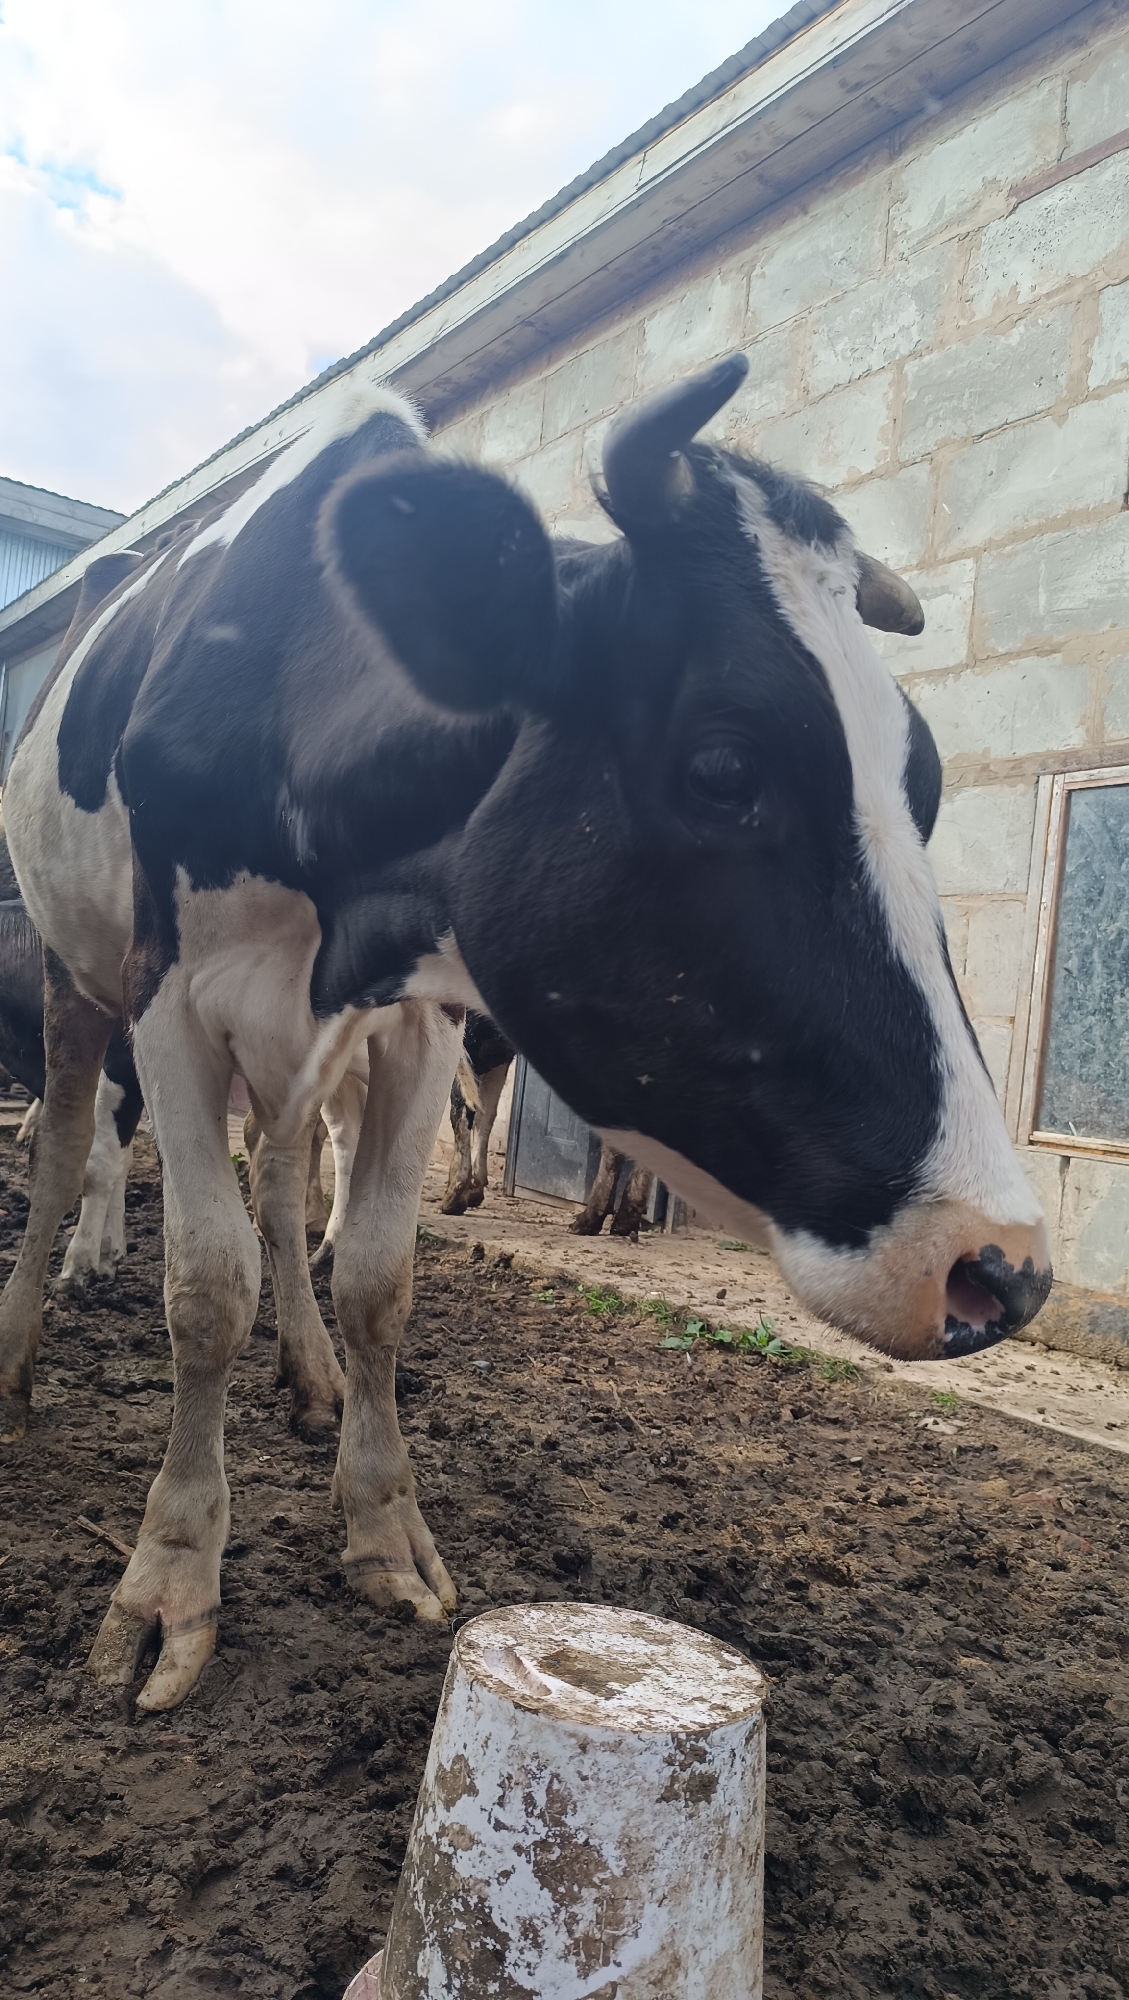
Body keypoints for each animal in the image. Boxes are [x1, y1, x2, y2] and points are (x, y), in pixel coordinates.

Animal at [0, 354, 1051, 1713]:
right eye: (724, 766)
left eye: (921, 781)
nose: (1001, 1265)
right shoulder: (168, 1001)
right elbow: (203, 1285)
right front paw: (169, 1581)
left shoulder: (420, 1021)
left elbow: (376, 1276)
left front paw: (383, 1529)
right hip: (73, 981)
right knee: (62, 1149)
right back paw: (21, 1353)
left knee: (283, 1185)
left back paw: (307, 1372)